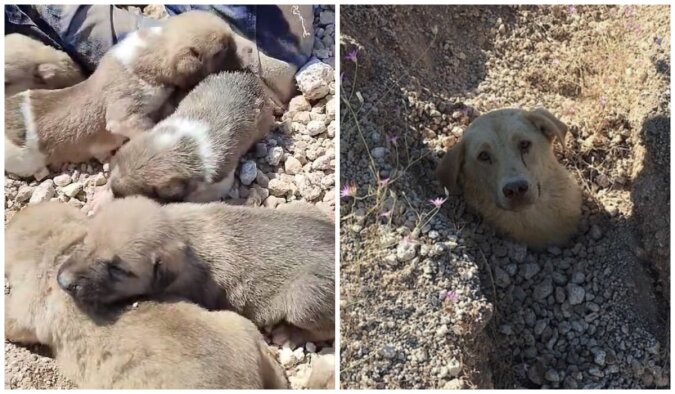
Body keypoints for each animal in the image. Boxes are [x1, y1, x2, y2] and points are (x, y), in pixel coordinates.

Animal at [56, 196, 336, 342]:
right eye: (87, 241)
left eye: (117, 269)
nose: (63, 282)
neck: (184, 234)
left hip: (305, 299)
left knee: (323, 329)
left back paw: (290, 333)